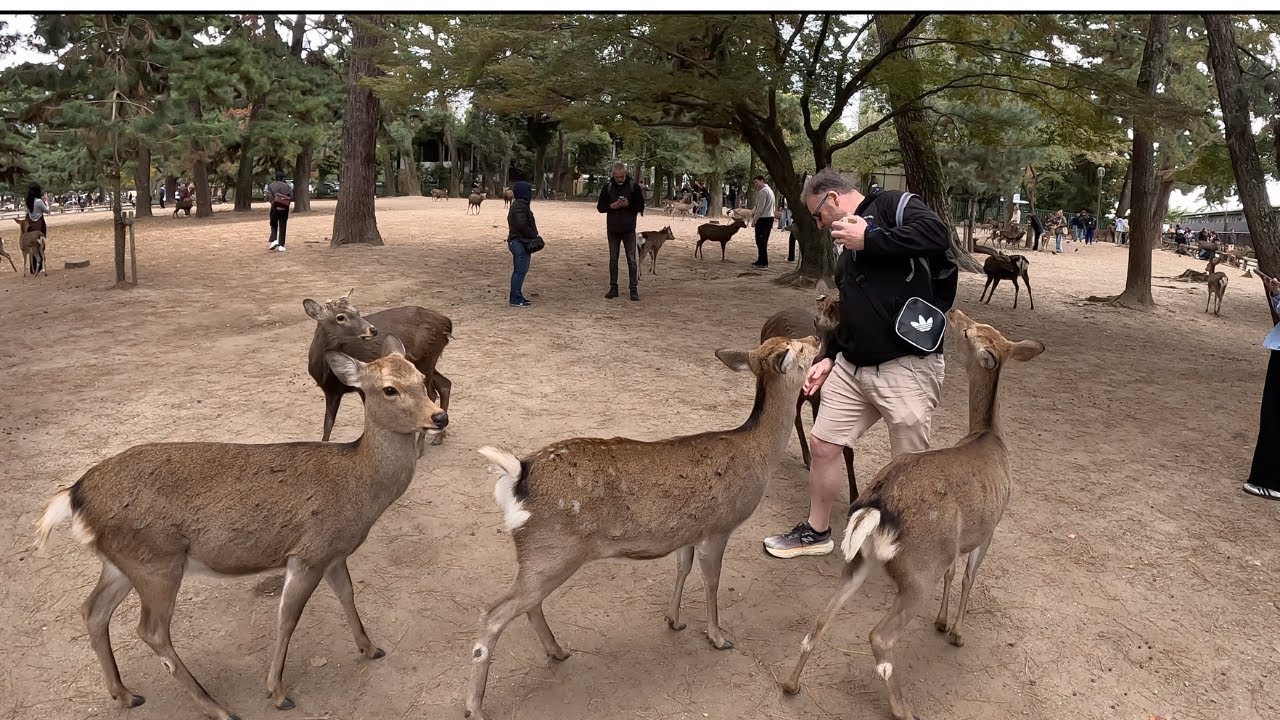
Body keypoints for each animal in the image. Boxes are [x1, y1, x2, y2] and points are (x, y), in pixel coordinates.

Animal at [32, 335, 448, 720]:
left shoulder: (333, 552)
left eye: (420, 376)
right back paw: (217, 707)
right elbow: (287, 619)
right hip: (158, 561)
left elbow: (348, 596)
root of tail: (75, 494)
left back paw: (125, 693)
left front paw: (370, 648)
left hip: (122, 561)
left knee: (93, 609)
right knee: (150, 630)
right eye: (389, 389)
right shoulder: (308, 552)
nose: (439, 417)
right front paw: (277, 692)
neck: (359, 487)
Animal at [305, 291, 454, 454]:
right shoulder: (330, 391)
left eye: (357, 311)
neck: (326, 371)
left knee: (432, 392)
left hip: (426, 360)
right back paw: (438, 438)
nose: (373, 330)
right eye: (340, 317)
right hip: (424, 362)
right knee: (445, 383)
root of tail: (447, 323)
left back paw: (420, 446)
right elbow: (328, 424)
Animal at [464, 334, 822, 720]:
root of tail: (517, 475)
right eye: (799, 348)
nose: (817, 338)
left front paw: (674, 620)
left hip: (541, 557)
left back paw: (558, 651)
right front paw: (718, 636)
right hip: (552, 550)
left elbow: (683, 568)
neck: (759, 454)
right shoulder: (719, 526)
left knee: (528, 605)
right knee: (494, 613)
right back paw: (475, 706)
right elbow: (712, 581)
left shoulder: (689, 532)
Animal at [780, 309, 1044, 720]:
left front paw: (941, 622)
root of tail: (877, 507)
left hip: (859, 559)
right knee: (879, 635)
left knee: (821, 617)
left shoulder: (960, 541)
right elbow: (968, 576)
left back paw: (791, 684)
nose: (956, 313)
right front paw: (956, 632)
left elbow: (955, 573)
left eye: (972, 330)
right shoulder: (990, 527)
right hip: (919, 569)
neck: (990, 438)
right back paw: (903, 709)